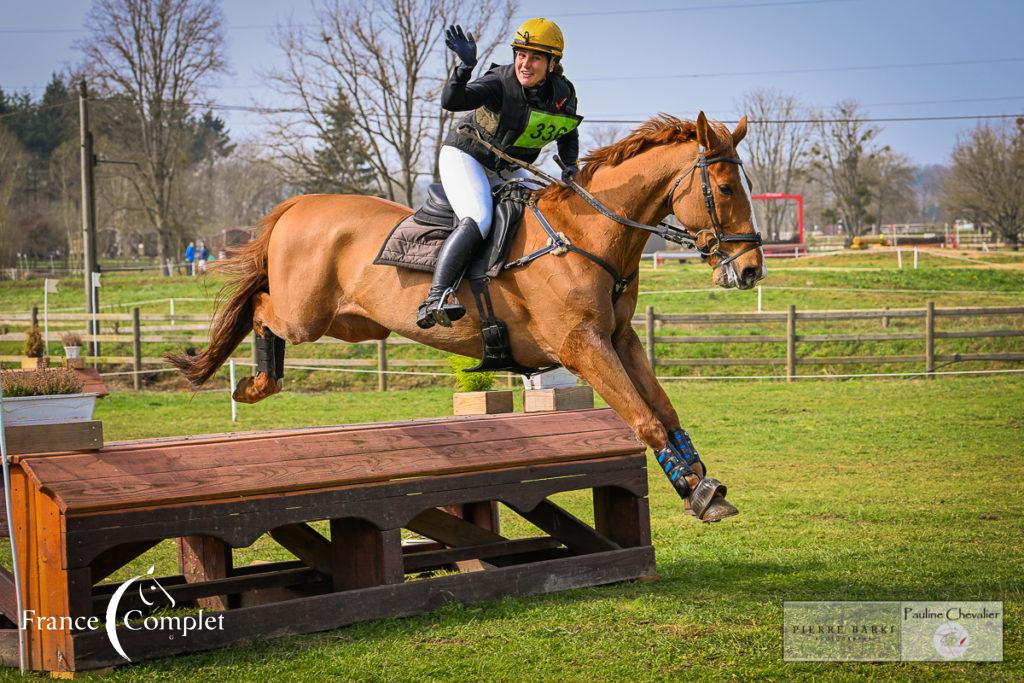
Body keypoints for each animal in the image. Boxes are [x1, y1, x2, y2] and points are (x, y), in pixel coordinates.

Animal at [167, 112, 765, 520]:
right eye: (726, 188)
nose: (751, 269)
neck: (586, 234)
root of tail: (300, 203)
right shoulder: (581, 345)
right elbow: (643, 417)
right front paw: (695, 491)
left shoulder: (619, 340)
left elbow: (664, 409)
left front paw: (700, 481)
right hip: (304, 315)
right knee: (260, 307)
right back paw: (256, 384)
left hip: (352, 322)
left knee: (268, 309)